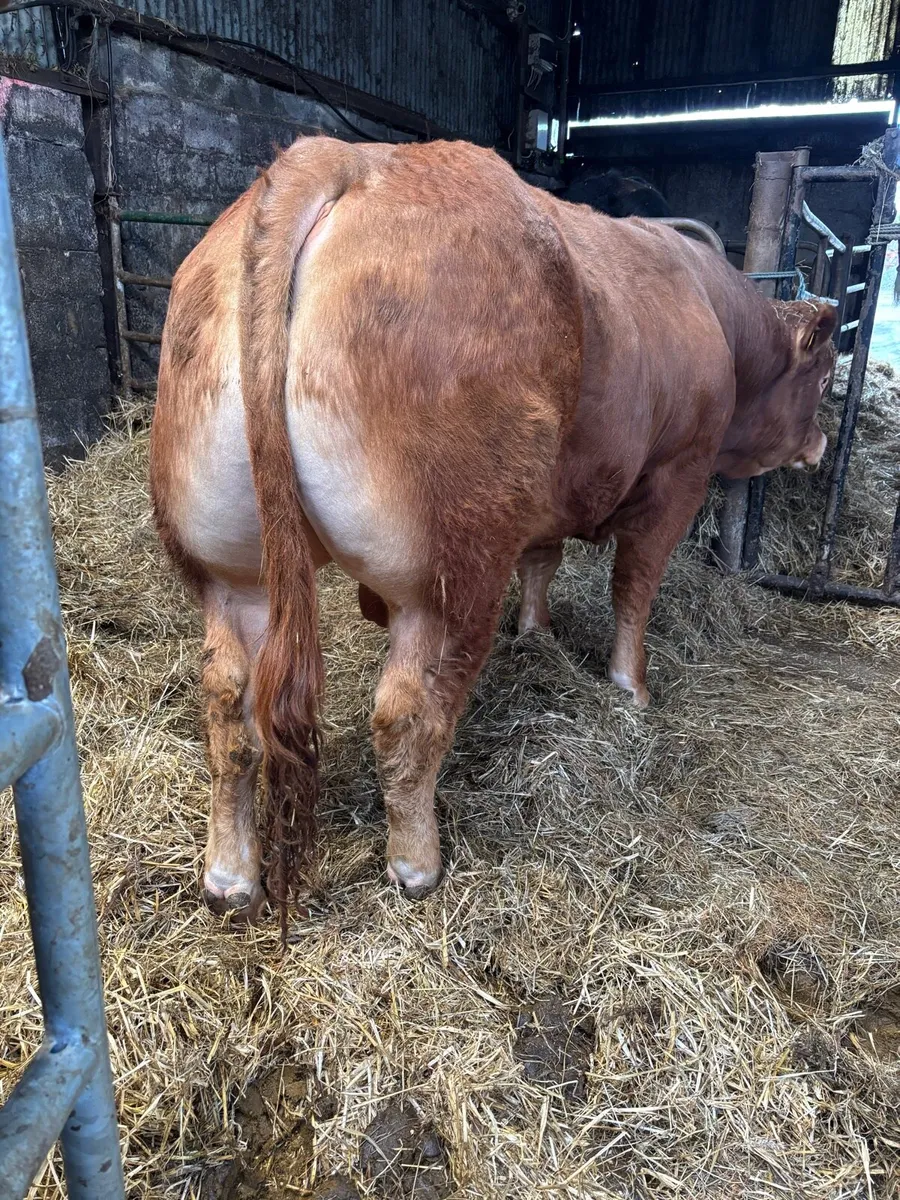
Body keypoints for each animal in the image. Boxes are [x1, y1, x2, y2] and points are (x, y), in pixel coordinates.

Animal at [149, 136, 836, 929]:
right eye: (823, 377)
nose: (821, 445)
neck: (711, 311)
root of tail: (342, 156)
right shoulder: (678, 475)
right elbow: (635, 586)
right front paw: (630, 687)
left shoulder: (550, 489)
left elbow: (544, 557)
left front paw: (536, 634)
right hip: (449, 571)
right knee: (408, 711)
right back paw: (417, 862)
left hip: (231, 569)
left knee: (228, 703)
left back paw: (230, 876)